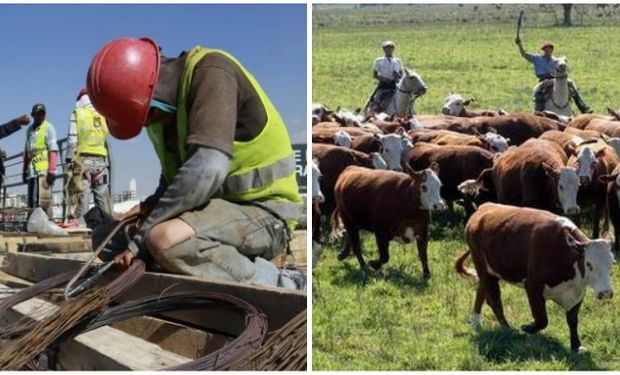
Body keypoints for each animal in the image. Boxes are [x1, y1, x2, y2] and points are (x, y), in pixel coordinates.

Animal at [458, 203, 612, 352]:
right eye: (589, 264)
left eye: (611, 263)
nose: (606, 293)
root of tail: (484, 208)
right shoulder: (533, 287)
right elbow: (542, 320)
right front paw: (528, 327)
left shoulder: (577, 292)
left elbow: (573, 320)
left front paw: (576, 346)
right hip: (482, 266)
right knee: (494, 301)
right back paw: (506, 328)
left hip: (489, 271)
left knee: (481, 292)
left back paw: (476, 321)